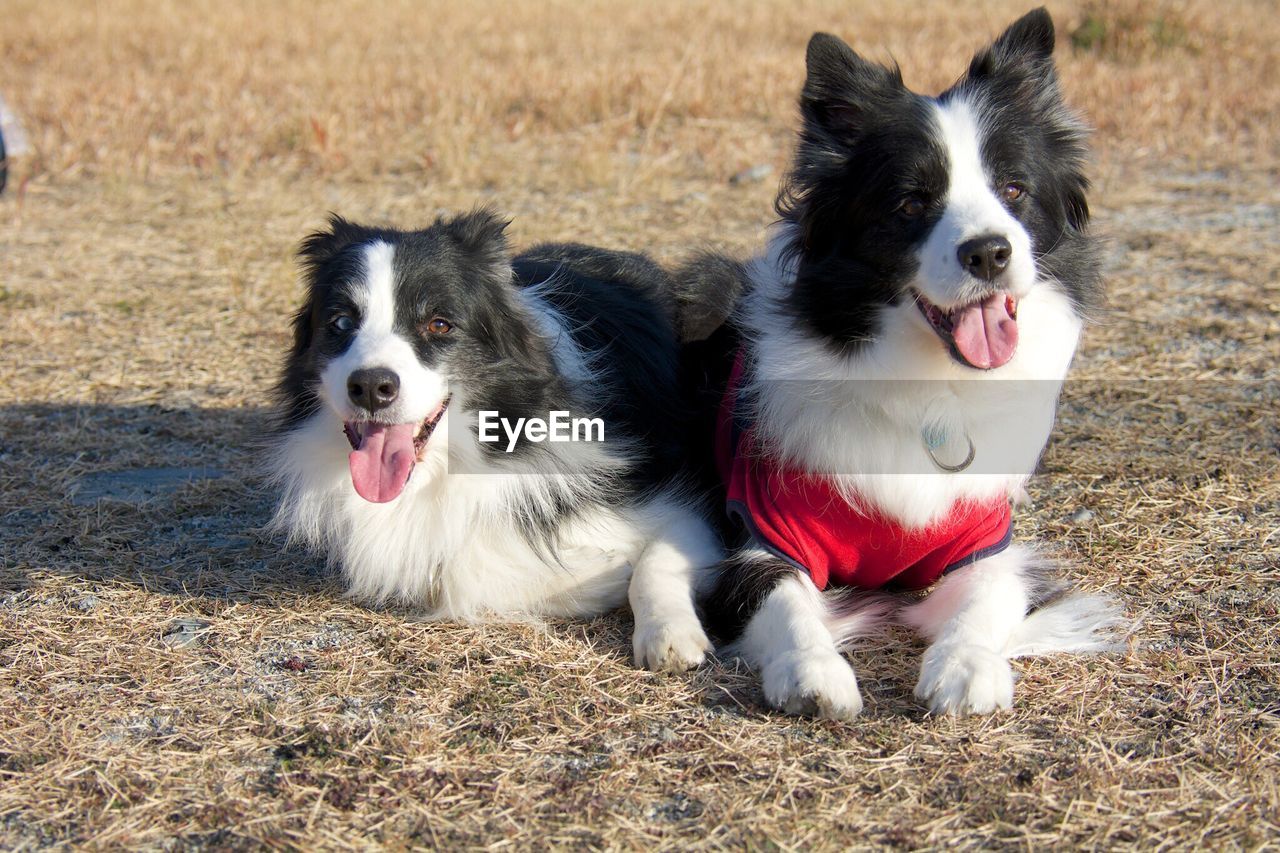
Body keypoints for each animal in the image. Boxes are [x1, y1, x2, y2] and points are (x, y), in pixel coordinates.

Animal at [272, 207, 721, 671]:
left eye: (439, 324)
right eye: (340, 323)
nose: (370, 387)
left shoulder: (678, 498)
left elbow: (661, 558)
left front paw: (668, 634)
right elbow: (456, 577)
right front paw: (607, 574)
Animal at [680, 11, 1121, 717]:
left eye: (1014, 189)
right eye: (912, 203)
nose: (989, 252)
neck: (933, 384)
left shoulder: (987, 544)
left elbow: (988, 598)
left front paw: (966, 666)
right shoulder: (762, 536)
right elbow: (786, 604)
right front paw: (812, 671)